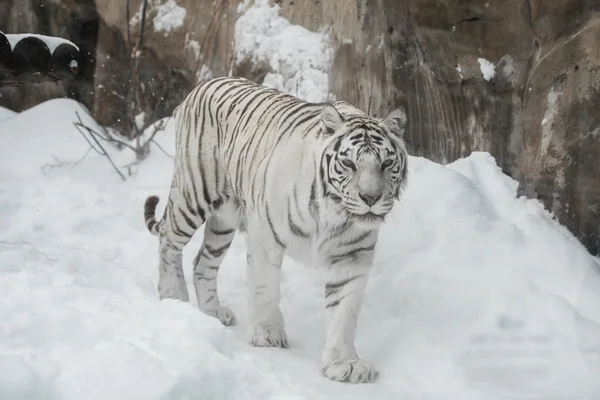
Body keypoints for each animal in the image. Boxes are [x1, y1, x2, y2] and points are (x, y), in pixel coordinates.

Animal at [143, 76, 410, 382]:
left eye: (386, 163)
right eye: (348, 163)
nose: (370, 198)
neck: (333, 215)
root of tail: (203, 85)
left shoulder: (353, 256)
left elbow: (344, 311)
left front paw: (346, 363)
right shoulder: (265, 235)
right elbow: (265, 286)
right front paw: (267, 333)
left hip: (224, 220)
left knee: (203, 262)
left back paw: (212, 312)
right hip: (193, 193)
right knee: (168, 239)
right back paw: (172, 295)